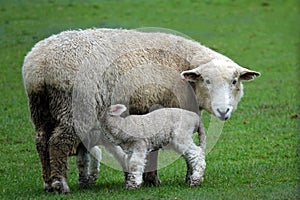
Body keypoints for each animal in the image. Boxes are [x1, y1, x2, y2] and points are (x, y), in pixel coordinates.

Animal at [21, 27, 260, 193]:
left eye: (234, 81)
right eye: (207, 81)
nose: (223, 111)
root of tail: (40, 65)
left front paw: (151, 179)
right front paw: (159, 179)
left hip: (41, 108)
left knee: (41, 141)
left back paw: (48, 182)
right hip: (74, 107)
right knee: (58, 143)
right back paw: (60, 184)